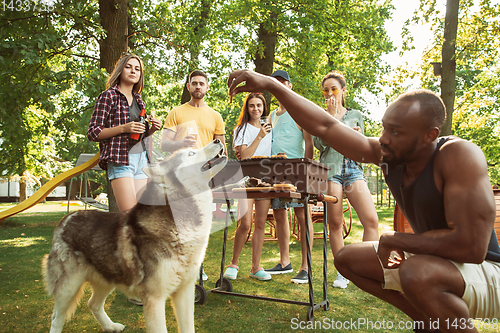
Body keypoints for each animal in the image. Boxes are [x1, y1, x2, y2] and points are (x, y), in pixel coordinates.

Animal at [43, 140, 227, 332]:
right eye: (191, 154)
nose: (217, 140)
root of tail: (67, 218)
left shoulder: (185, 292)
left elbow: (188, 327)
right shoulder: (154, 299)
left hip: (107, 278)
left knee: (93, 304)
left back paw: (110, 326)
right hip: (68, 287)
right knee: (56, 317)